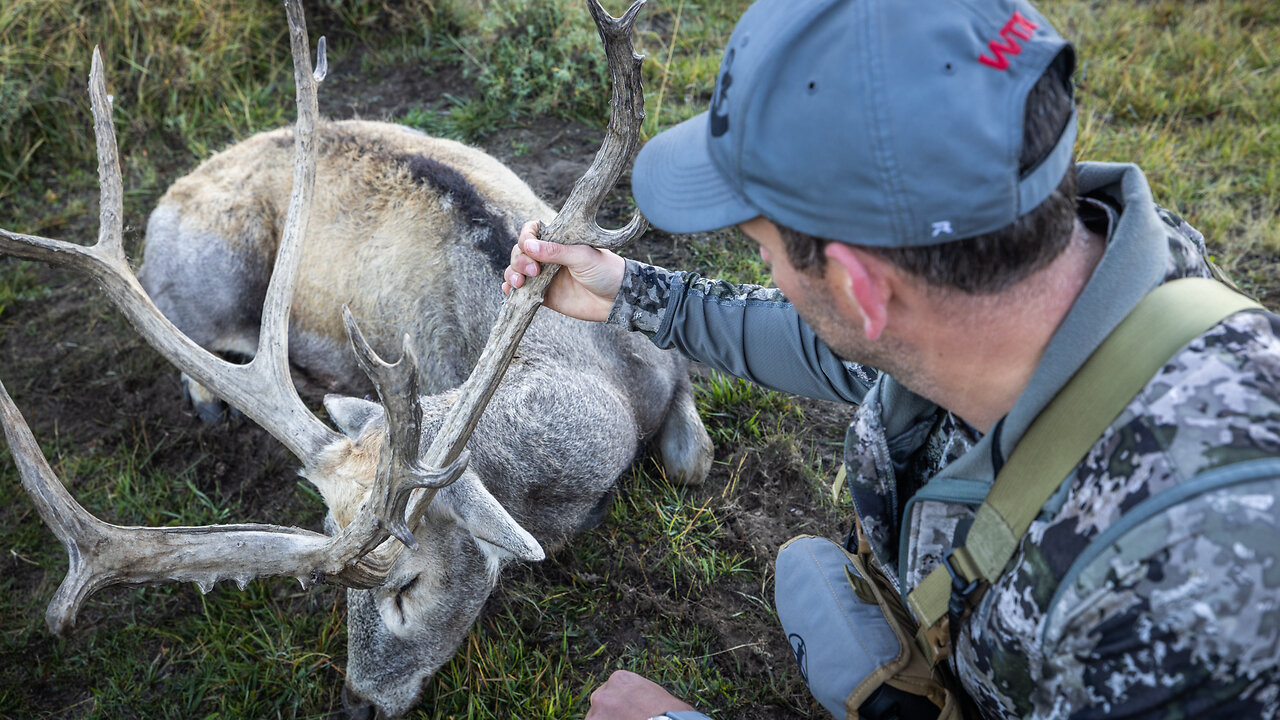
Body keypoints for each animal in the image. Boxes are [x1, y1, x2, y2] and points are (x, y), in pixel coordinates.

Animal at [0, 2, 716, 712]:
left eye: (407, 584)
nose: (356, 704)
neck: (608, 389)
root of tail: (162, 206)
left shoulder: (672, 367)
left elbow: (694, 462)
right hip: (211, 279)